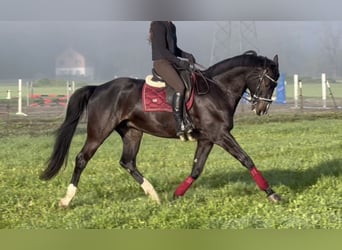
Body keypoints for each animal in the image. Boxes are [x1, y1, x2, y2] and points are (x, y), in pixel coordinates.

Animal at [40, 50, 280, 207]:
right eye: (269, 82)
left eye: (276, 83)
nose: (261, 109)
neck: (217, 90)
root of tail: (98, 88)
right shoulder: (220, 134)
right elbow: (246, 159)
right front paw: (272, 193)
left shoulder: (208, 138)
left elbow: (196, 169)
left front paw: (177, 195)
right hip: (99, 131)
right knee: (82, 158)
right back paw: (67, 199)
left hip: (132, 132)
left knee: (127, 162)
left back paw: (154, 194)